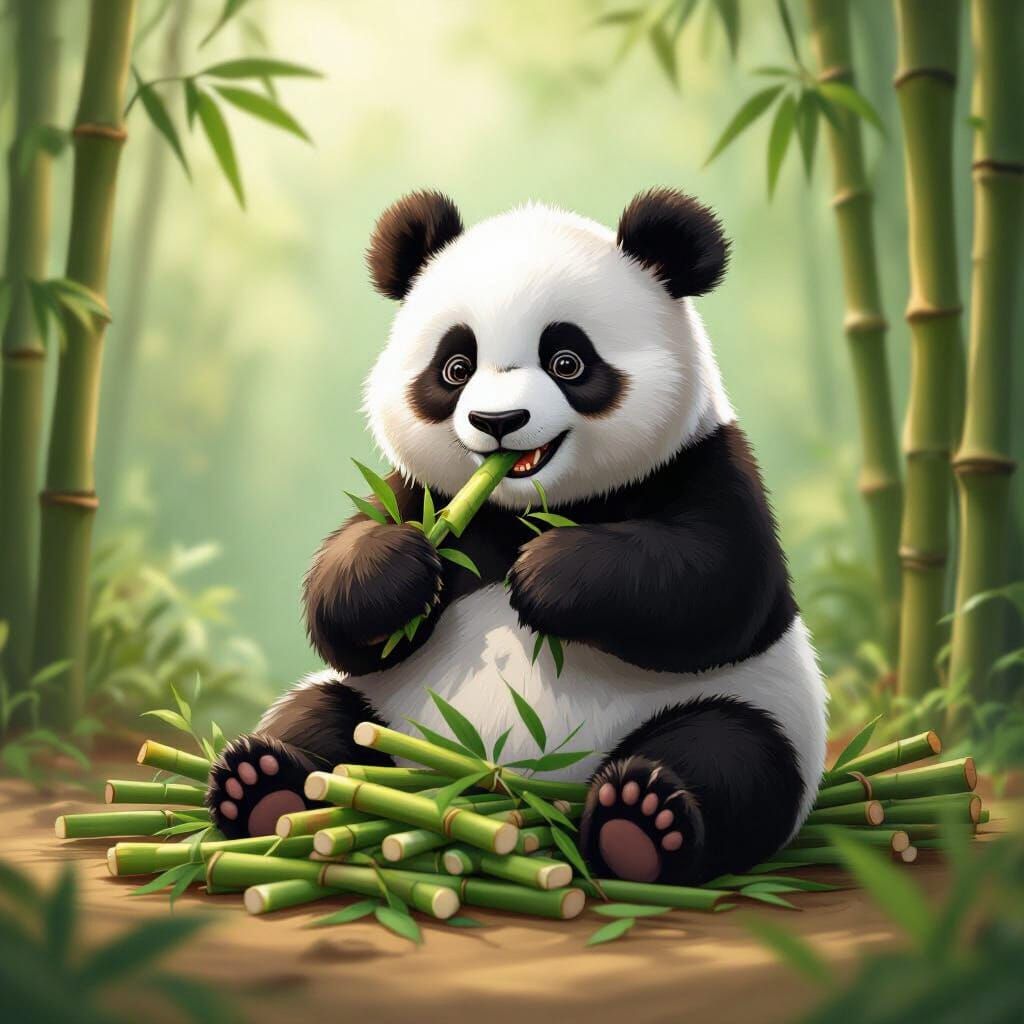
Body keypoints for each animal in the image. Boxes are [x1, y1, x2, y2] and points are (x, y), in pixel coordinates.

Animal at [207, 188, 828, 887]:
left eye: (567, 362)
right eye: (455, 367)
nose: (497, 421)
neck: (522, 507)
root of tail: (505, 789)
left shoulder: (704, 464)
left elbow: (719, 585)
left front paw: (545, 575)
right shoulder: (424, 493)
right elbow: (343, 606)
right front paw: (401, 573)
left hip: (750, 709)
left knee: (733, 755)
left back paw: (640, 822)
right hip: (382, 718)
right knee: (321, 720)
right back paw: (263, 786)